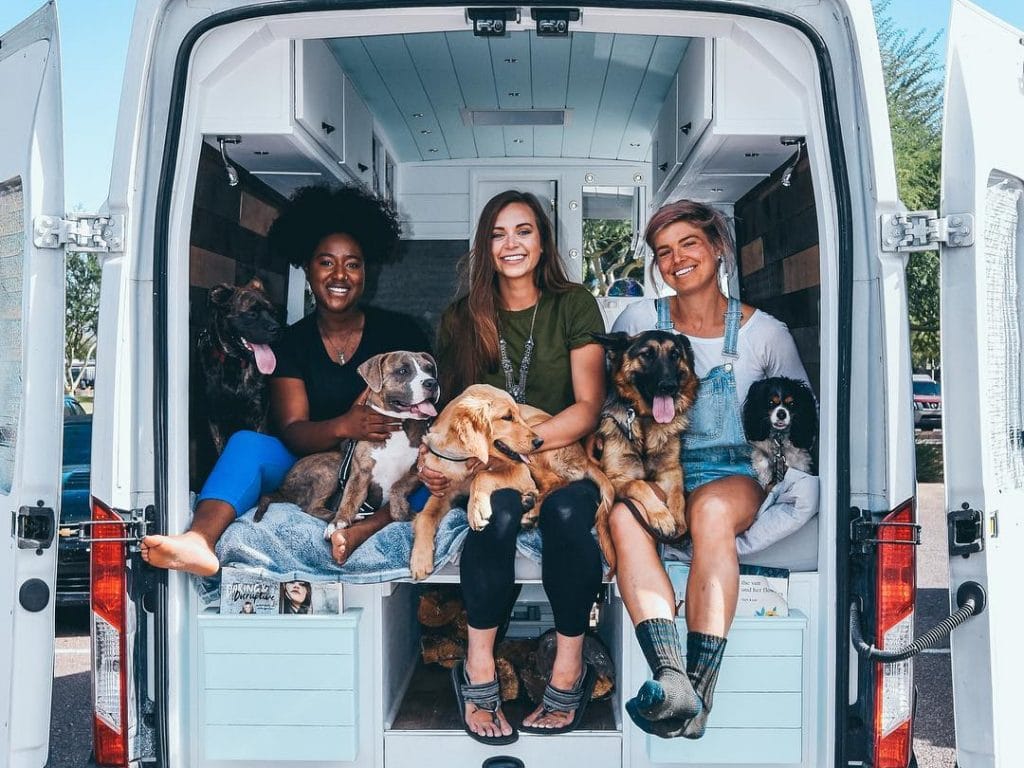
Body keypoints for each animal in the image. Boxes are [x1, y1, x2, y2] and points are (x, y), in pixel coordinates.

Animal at [196, 278, 282, 454]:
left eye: (274, 313)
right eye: (252, 313)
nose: (277, 328)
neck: (235, 363)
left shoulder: (259, 415)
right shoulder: (215, 418)